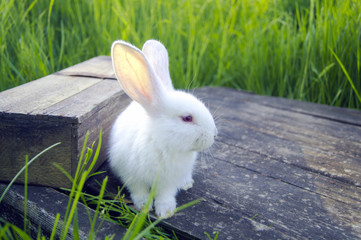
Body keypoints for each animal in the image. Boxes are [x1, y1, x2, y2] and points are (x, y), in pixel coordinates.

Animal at [107, 39, 217, 218]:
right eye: (187, 118)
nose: (214, 135)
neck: (162, 144)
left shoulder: (168, 181)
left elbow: (165, 194)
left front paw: (165, 211)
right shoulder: (131, 175)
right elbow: (138, 191)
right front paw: (143, 206)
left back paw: (186, 183)